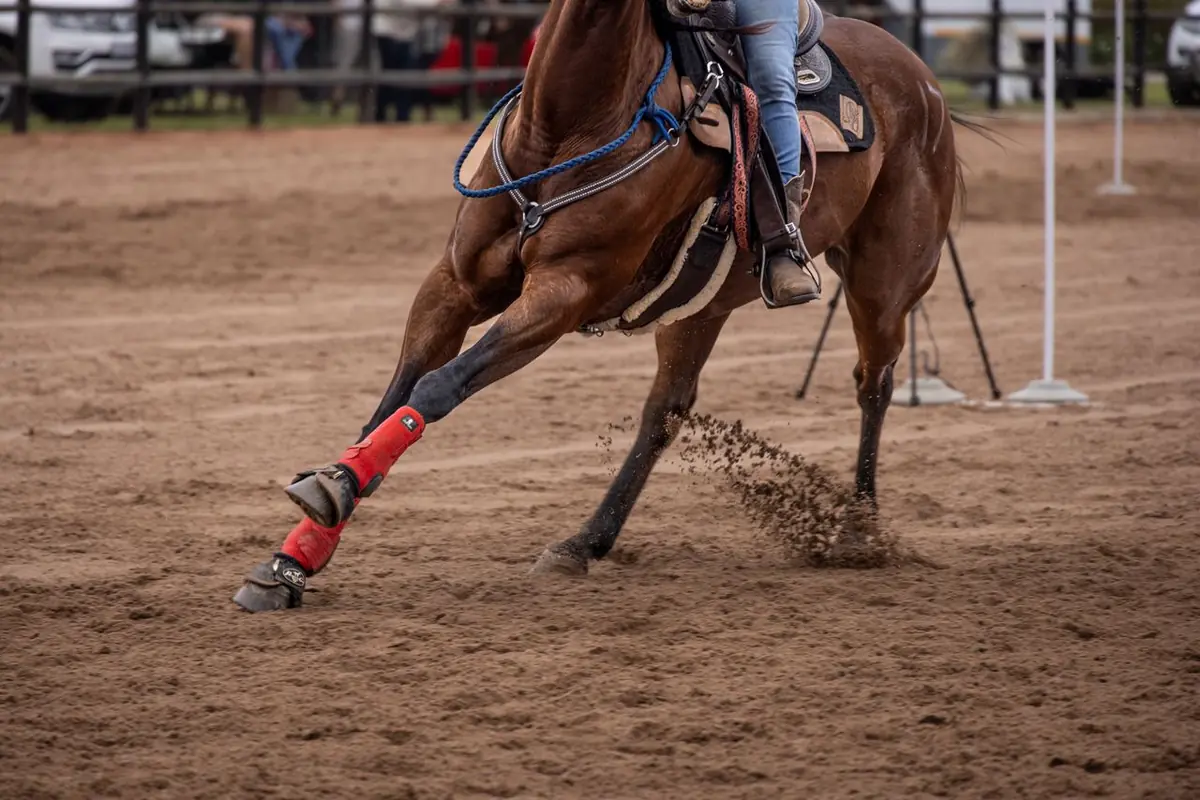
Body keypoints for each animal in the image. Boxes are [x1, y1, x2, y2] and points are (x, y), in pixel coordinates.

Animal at [232, 0, 967, 611]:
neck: (567, 123)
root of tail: (922, 81)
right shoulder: (454, 286)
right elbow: (394, 397)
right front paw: (298, 552)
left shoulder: (563, 293)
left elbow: (437, 388)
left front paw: (331, 492)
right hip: (699, 308)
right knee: (664, 413)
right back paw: (584, 542)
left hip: (884, 280)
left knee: (874, 384)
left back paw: (857, 531)